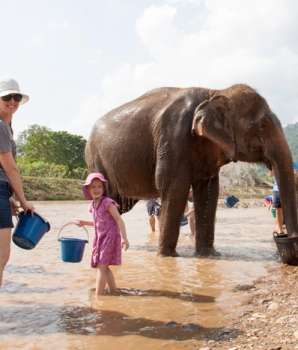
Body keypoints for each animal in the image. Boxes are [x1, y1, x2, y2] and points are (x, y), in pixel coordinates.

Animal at [84, 84, 298, 258]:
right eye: (262, 126)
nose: (289, 239)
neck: (215, 92)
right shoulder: (174, 137)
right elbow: (176, 188)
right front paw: (168, 257)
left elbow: (208, 193)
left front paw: (210, 256)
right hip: (96, 161)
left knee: (119, 205)